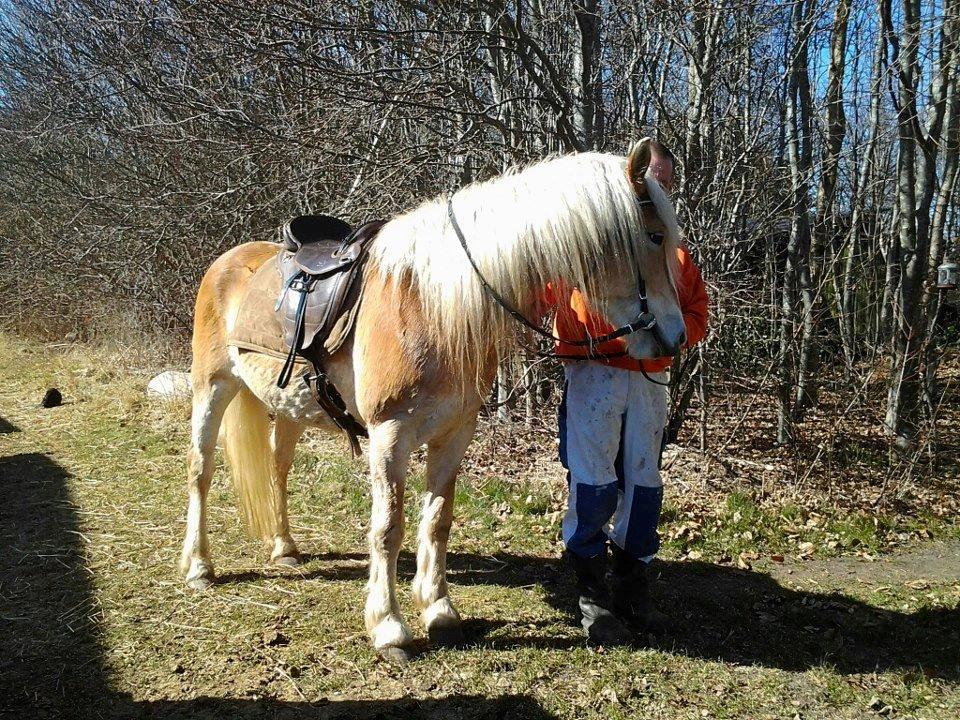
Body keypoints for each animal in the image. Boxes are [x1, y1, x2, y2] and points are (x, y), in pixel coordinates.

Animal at [180, 138, 688, 660]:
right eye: (654, 236)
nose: (676, 338)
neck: (430, 307)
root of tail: (228, 260)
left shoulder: (454, 432)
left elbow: (438, 520)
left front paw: (439, 610)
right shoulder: (390, 435)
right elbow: (388, 529)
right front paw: (389, 626)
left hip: (289, 407)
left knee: (278, 467)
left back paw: (284, 547)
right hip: (213, 386)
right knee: (201, 469)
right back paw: (199, 566)